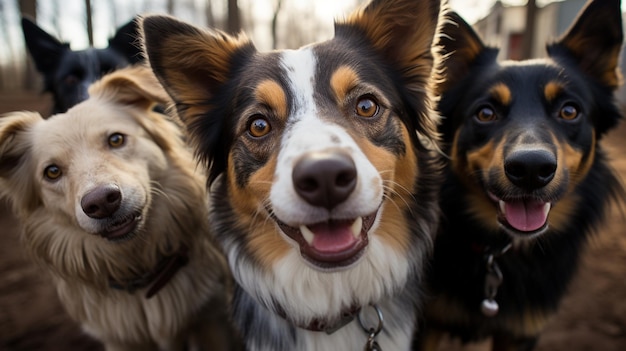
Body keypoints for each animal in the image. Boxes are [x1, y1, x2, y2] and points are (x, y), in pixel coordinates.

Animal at [0, 66, 236, 351]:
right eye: (52, 172)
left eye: (115, 139)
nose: (101, 202)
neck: (139, 271)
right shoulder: (119, 339)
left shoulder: (212, 319)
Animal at [414, 0, 624, 351]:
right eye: (486, 113)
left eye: (569, 111)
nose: (531, 169)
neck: (499, 253)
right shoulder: (424, 325)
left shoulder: (521, 332)